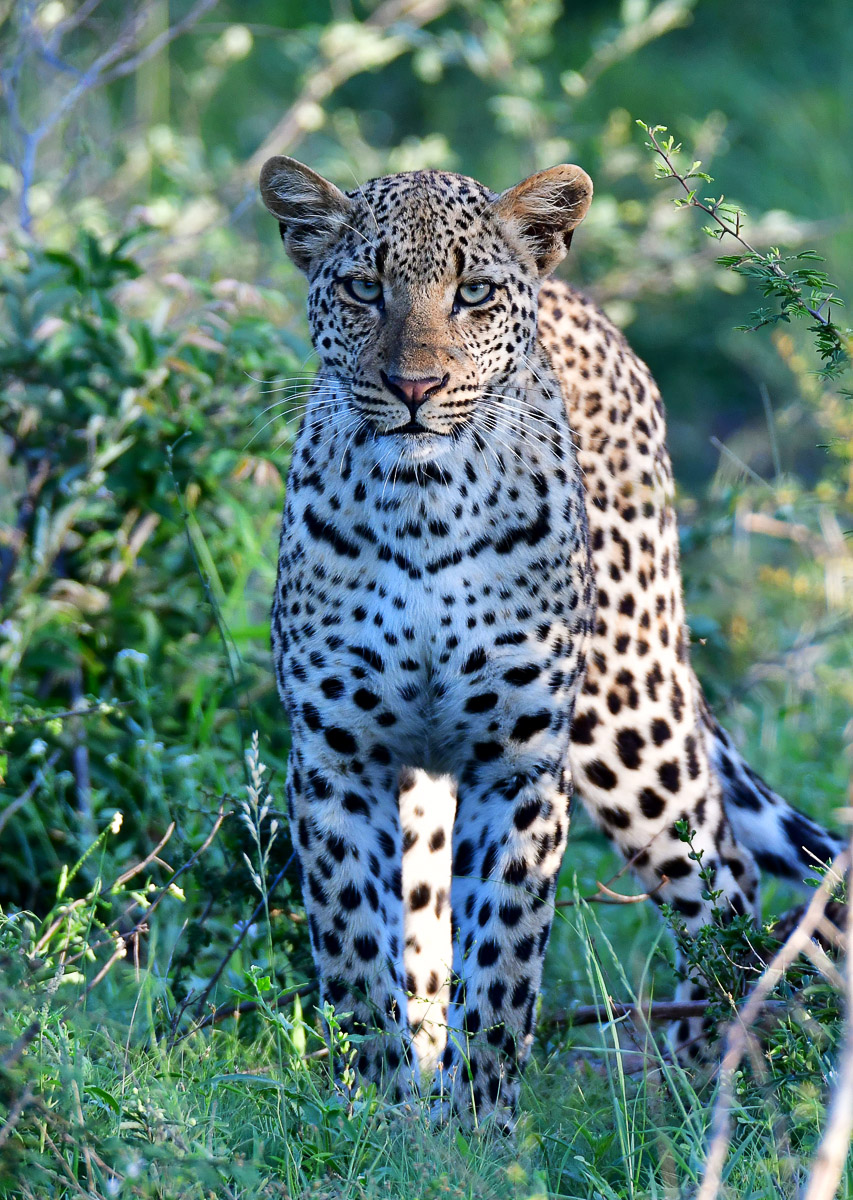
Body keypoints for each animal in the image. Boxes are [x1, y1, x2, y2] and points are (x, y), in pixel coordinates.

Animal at [258, 155, 842, 1129]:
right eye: (363, 288)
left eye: (474, 294)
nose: (414, 388)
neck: (421, 505)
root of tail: (578, 297)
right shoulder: (339, 755)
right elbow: (357, 946)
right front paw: (383, 1113)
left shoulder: (519, 759)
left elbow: (502, 954)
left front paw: (479, 1122)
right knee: (424, 914)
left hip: (629, 713)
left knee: (722, 872)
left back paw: (706, 1070)